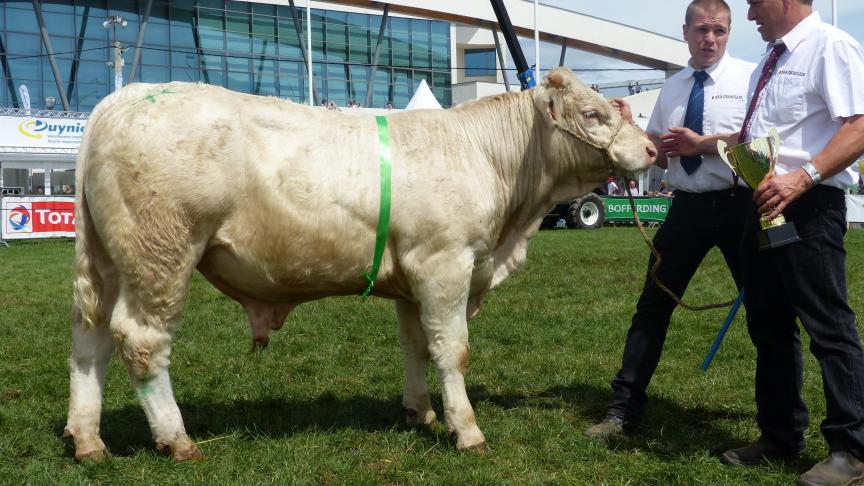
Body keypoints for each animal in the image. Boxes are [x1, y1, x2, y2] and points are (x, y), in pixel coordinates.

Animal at [64, 67, 656, 460]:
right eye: (593, 114)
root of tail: (122, 99)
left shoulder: (415, 278)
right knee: (141, 340)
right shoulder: (446, 264)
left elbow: (417, 346)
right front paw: (466, 430)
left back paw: (88, 439)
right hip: (161, 253)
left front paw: (421, 411)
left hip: (108, 262)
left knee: (91, 340)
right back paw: (176, 439)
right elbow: (453, 350)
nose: (652, 149)